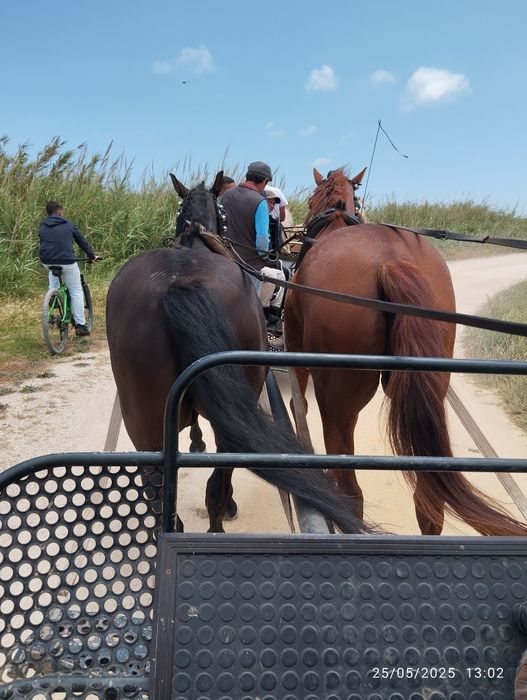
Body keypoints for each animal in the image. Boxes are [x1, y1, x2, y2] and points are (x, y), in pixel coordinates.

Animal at [284, 167, 527, 536]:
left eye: (311, 199)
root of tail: (391, 262)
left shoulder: (296, 351)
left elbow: (298, 403)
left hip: (338, 399)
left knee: (351, 492)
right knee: (429, 501)